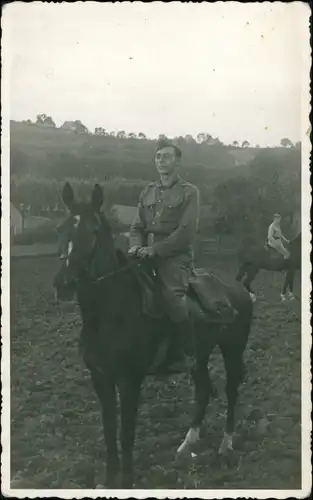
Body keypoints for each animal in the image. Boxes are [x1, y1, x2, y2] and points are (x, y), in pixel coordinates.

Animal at [53, 182, 254, 486]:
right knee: (203, 389)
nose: (63, 284)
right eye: (63, 227)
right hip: (198, 357)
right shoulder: (101, 379)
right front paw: (109, 479)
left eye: (94, 230)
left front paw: (126, 480)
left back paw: (226, 445)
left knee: (231, 391)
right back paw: (187, 444)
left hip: (232, 350)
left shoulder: (129, 381)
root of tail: (238, 287)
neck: (110, 312)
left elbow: (126, 433)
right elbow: (109, 431)